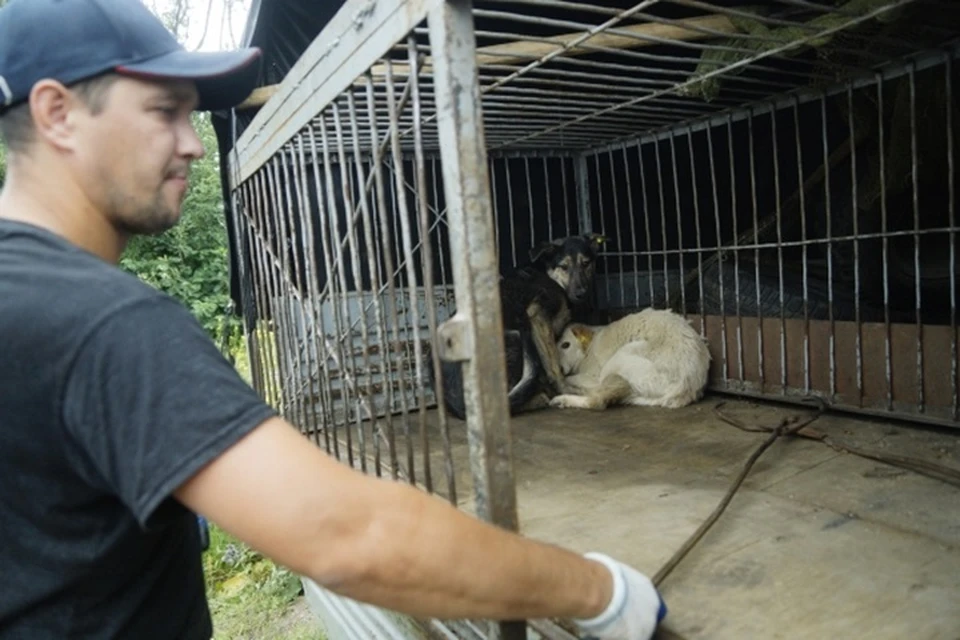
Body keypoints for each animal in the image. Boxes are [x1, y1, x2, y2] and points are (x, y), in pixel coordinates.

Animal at [430, 234, 604, 420]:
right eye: (564, 266)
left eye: (586, 263)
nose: (581, 293)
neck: (549, 275)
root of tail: (461, 406)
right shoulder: (537, 314)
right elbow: (553, 364)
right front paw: (564, 389)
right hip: (514, 338)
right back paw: (539, 397)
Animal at [548, 308, 712, 410]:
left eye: (565, 345)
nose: (558, 368)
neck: (588, 348)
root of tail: (686, 385)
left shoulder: (593, 375)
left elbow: (570, 378)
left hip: (619, 359)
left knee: (597, 399)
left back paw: (562, 399)